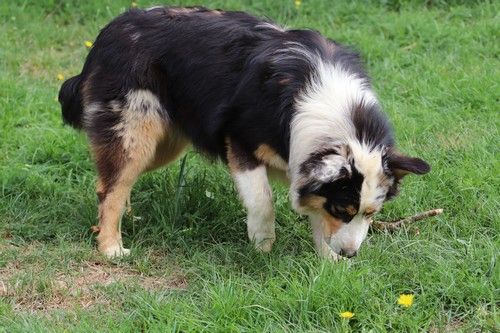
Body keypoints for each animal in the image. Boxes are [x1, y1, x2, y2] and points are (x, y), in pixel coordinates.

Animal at [56, 5, 428, 260]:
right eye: (343, 211)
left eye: (371, 213)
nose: (351, 255)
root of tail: (110, 30)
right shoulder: (241, 143)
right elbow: (263, 200)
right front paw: (262, 245)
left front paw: (328, 262)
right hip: (135, 131)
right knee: (109, 186)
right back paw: (110, 246)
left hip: (165, 144)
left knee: (114, 180)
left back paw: (125, 216)